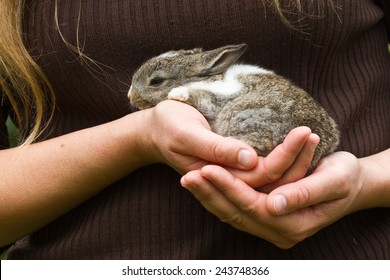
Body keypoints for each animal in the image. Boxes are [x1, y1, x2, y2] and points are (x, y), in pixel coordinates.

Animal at [129, 43, 340, 166]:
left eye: (156, 81)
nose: (130, 96)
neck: (212, 77)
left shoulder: (220, 95)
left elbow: (202, 96)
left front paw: (177, 94)